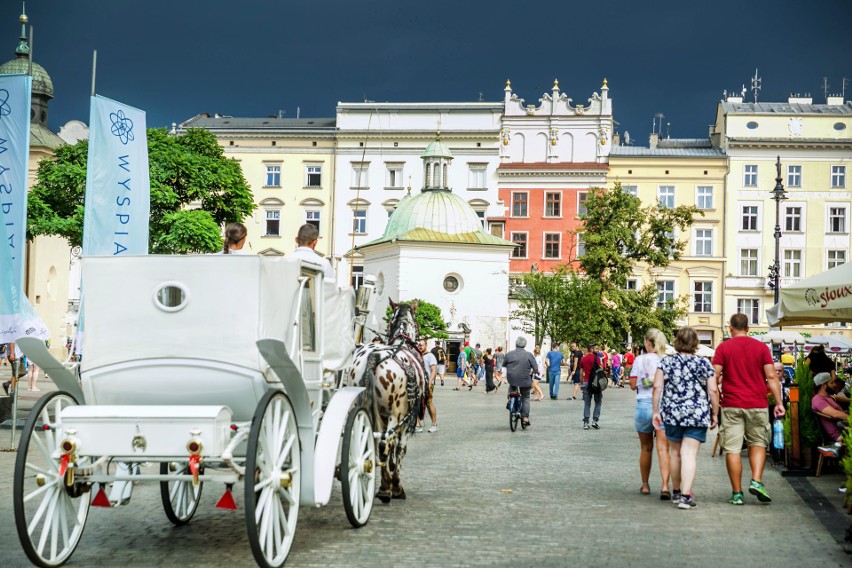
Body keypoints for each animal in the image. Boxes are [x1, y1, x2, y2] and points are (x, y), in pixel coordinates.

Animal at [346, 298, 426, 502]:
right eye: (418, 323)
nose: (420, 341)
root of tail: (376, 356)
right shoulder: (405, 419)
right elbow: (399, 450)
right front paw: (396, 486)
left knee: (370, 443)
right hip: (394, 415)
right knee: (385, 444)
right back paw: (386, 489)